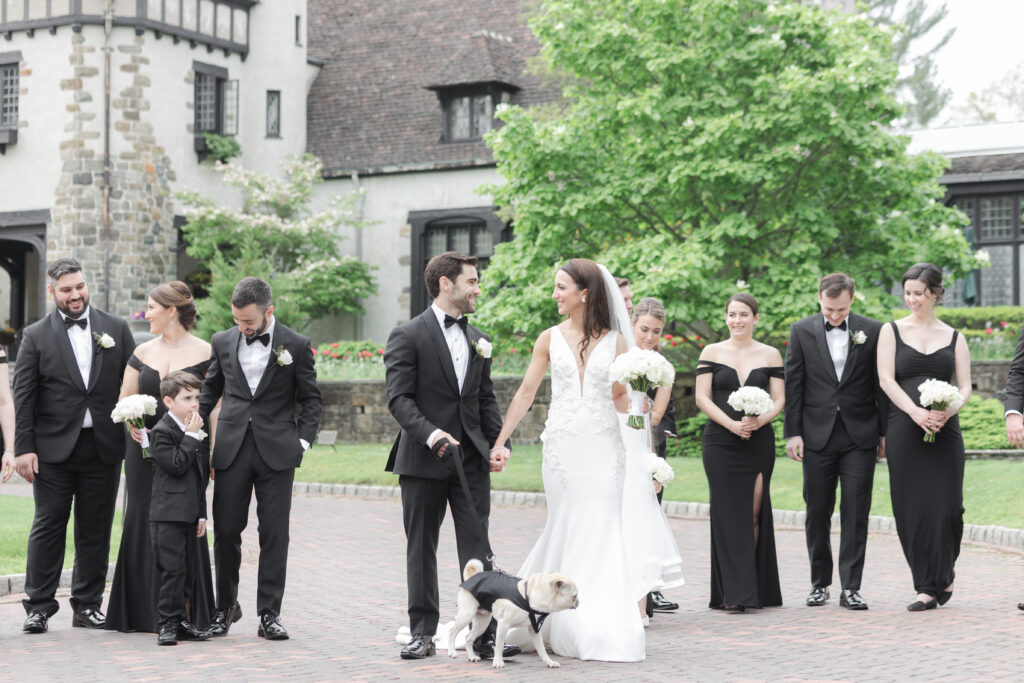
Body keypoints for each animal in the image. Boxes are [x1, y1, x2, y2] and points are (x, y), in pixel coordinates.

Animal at [446, 561, 581, 667]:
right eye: (574, 596)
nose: (579, 601)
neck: (528, 597)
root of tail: (472, 577)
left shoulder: (534, 630)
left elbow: (542, 649)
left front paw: (549, 662)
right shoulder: (503, 624)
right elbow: (499, 645)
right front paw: (498, 662)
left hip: (482, 623)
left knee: (468, 638)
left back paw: (472, 657)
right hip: (467, 615)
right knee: (452, 631)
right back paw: (452, 652)